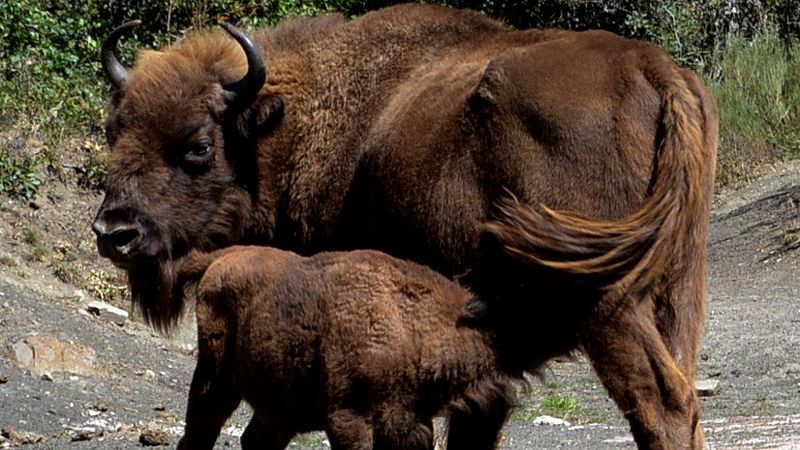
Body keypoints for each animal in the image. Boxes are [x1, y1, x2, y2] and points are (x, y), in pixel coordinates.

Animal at [173, 246, 520, 450]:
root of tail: (219, 259)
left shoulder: (409, 425)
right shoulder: (349, 419)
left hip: (278, 401)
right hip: (215, 378)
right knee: (201, 430)